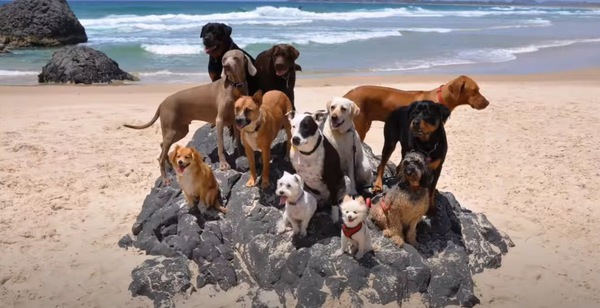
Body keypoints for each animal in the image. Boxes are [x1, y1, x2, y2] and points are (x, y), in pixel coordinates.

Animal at [123, 49, 256, 184]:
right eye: (224, 59)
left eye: (235, 58)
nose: (226, 66)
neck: (235, 86)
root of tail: (163, 103)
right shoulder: (219, 120)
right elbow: (220, 145)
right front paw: (223, 164)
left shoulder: (236, 121)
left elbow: (238, 141)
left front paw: (241, 154)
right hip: (171, 130)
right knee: (160, 157)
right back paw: (165, 178)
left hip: (180, 130)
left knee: (162, 145)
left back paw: (170, 164)